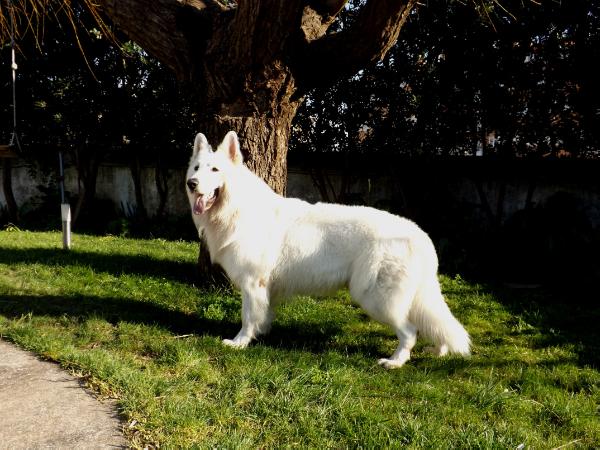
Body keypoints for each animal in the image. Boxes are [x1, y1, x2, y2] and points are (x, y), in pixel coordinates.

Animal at [185, 131, 472, 370]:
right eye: (197, 168)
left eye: (215, 169)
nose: (192, 183)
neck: (236, 208)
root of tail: (420, 236)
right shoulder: (266, 288)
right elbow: (263, 314)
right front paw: (261, 333)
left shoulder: (252, 283)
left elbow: (247, 317)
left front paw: (240, 342)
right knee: (432, 323)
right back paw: (439, 350)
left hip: (376, 299)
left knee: (410, 331)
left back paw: (395, 361)